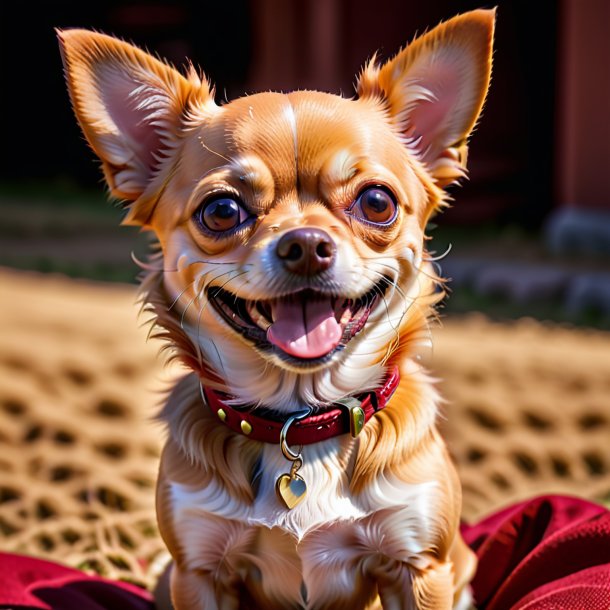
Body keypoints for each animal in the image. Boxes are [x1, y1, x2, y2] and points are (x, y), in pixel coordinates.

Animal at [58, 8, 494, 604]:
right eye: (221, 211)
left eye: (377, 202)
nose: (305, 243)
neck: (298, 422)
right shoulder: (198, 571)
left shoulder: (418, 567)